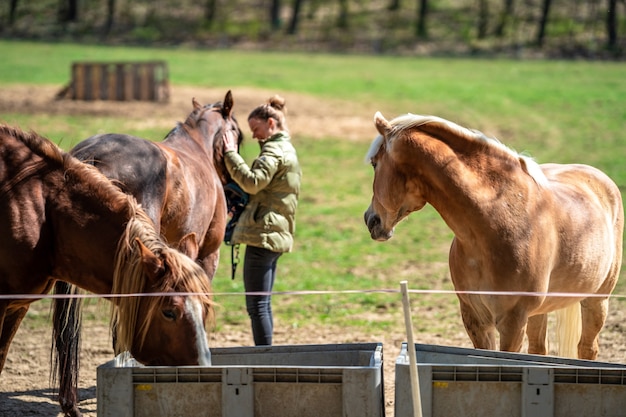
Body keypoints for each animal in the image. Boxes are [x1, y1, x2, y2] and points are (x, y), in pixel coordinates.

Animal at [364, 112, 620, 360]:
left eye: (375, 164)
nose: (370, 219)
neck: (495, 223)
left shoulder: (512, 321)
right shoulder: (475, 318)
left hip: (597, 301)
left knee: (587, 349)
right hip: (539, 312)